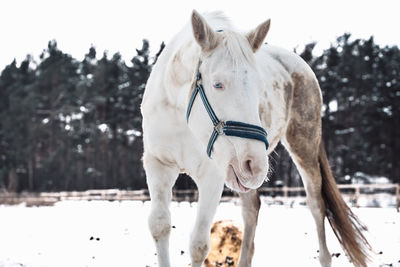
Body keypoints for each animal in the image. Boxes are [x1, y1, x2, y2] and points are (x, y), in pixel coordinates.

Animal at [141, 9, 372, 266]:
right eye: (217, 84)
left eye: (259, 87)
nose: (256, 166)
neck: (181, 116)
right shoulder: (158, 166)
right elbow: (160, 225)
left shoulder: (212, 174)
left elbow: (198, 245)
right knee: (251, 211)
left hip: (302, 148)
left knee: (316, 205)